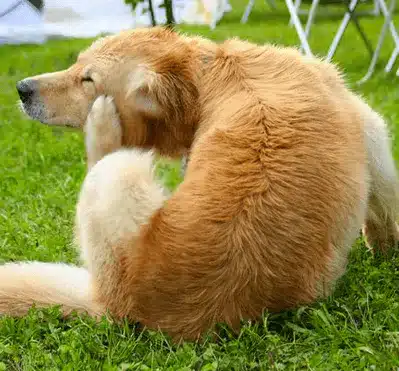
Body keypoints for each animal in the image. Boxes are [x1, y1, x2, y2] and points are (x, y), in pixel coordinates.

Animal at [1, 26, 398, 342]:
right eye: (74, 64)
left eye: (87, 79)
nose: (21, 88)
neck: (204, 74)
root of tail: (119, 307)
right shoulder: (368, 126)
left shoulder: (370, 123)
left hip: (122, 170)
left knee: (102, 158)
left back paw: (102, 124)